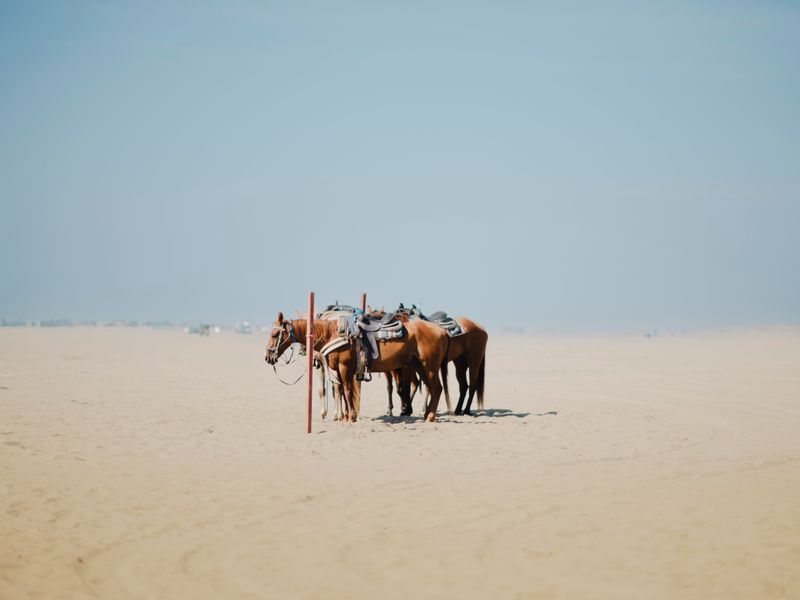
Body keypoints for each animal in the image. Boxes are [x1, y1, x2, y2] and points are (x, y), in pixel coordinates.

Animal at [265, 311, 449, 421]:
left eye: (274, 334)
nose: (267, 357)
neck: (332, 333)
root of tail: (442, 331)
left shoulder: (344, 367)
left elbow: (347, 390)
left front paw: (351, 416)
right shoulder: (337, 370)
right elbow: (341, 391)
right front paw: (346, 416)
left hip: (429, 367)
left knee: (437, 388)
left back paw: (430, 416)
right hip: (420, 367)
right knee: (433, 389)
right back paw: (426, 414)